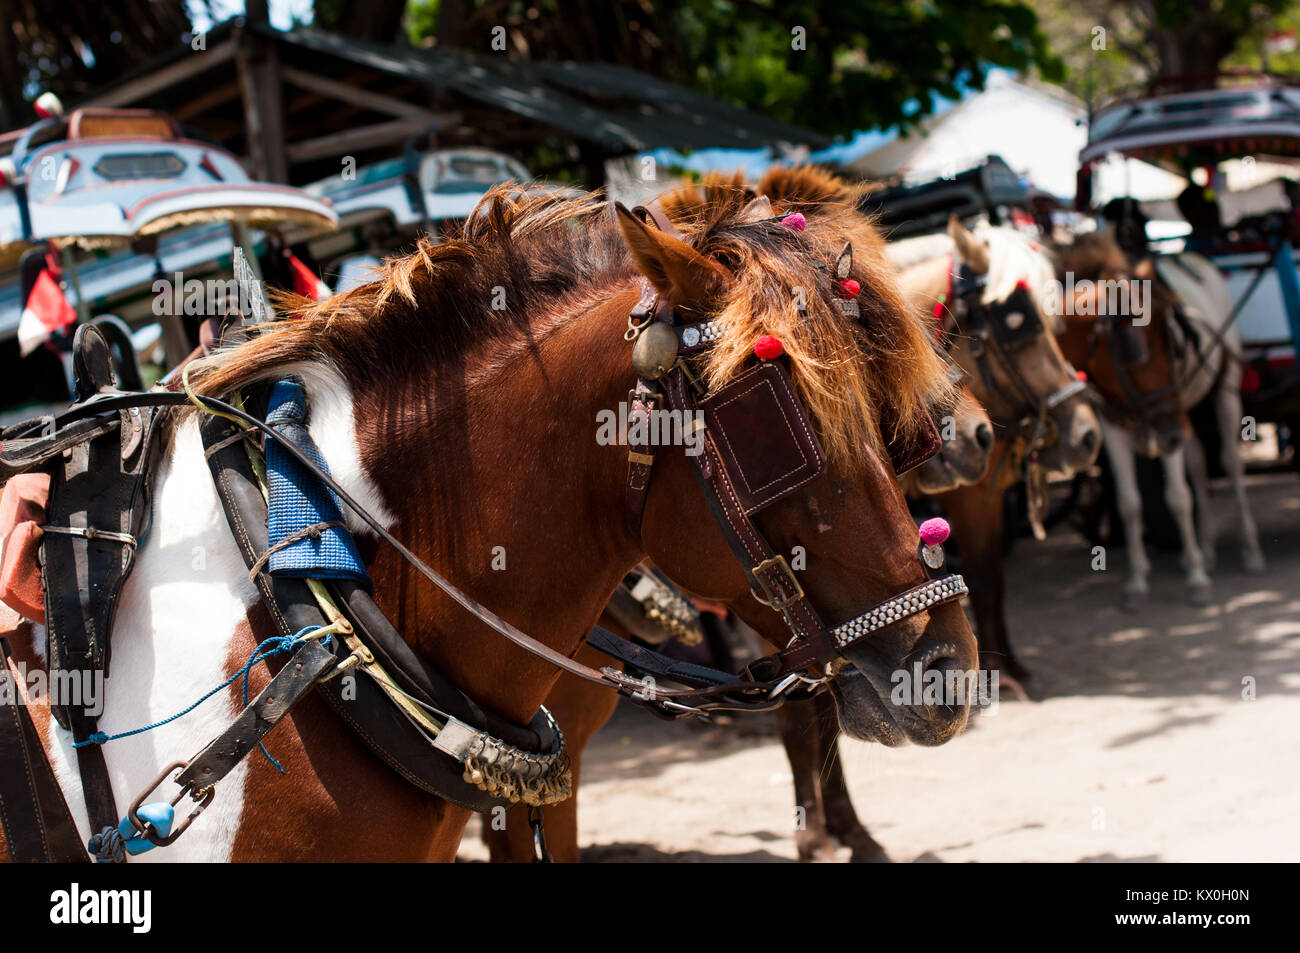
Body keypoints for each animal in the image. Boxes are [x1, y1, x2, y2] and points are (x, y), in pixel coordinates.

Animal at [1102, 252, 1263, 605]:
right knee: (1199, 465)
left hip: (1224, 388)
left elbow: (1176, 496)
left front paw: (1196, 579)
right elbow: (1128, 503)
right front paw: (1137, 581)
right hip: (1188, 407)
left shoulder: (1168, 420)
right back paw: (1206, 548)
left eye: (1170, 337)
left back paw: (1250, 550)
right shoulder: (1114, 424)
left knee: (1231, 463)